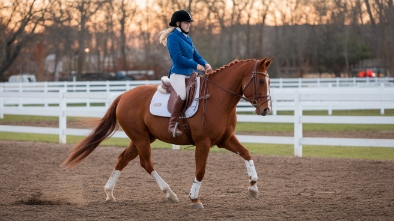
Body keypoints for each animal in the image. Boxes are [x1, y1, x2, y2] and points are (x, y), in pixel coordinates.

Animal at [62, 57, 274, 209]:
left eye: (269, 81)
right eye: (260, 81)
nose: (266, 110)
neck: (217, 98)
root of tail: (124, 95)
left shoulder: (225, 139)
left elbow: (246, 153)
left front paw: (253, 188)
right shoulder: (203, 142)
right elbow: (200, 170)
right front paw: (194, 199)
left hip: (143, 138)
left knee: (123, 159)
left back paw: (109, 193)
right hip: (140, 138)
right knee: (146, 163)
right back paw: (169, 194)